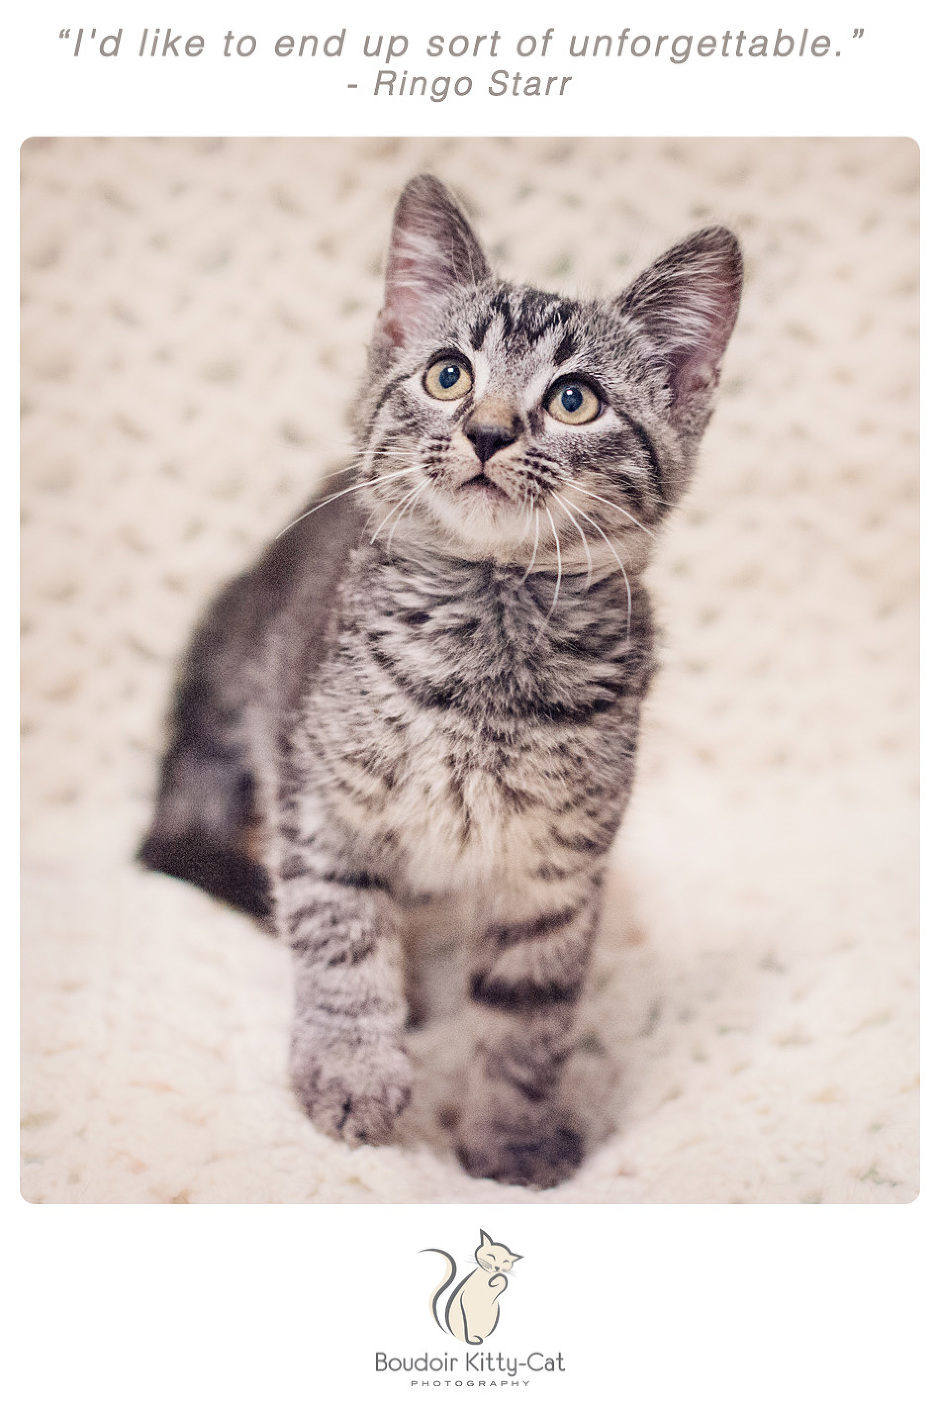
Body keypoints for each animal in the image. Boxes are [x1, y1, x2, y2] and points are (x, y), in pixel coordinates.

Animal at [139, 172, 741, 1186]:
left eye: (574, 400)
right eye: (447, 375)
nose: (488, 432)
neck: (487, 641)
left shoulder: (555, 865)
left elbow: (528, 1018)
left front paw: (513, 1141)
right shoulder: (321, 800)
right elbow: (342, 938)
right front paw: (350, 1074)